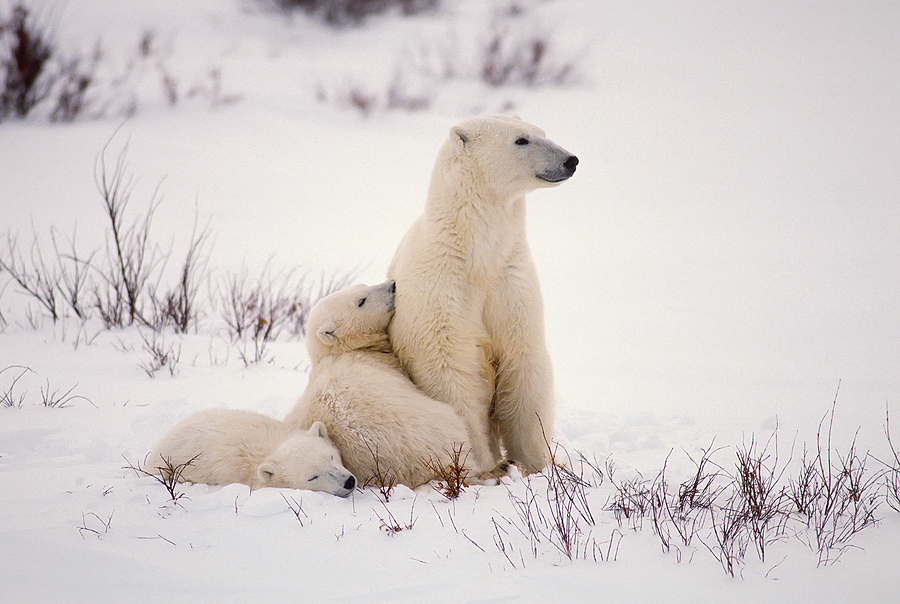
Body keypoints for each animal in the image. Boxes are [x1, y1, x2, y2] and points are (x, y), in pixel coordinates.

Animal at [386, 115, 576, 474]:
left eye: (542, 132)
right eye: (521, 140)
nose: (570, 160)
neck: (477, 257)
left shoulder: (511, 282)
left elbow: (523, 364)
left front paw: (537, 464)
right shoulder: (443, 291)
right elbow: (453, 374)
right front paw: (488, 465)